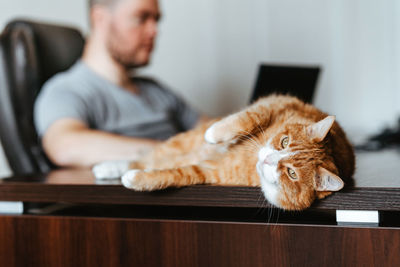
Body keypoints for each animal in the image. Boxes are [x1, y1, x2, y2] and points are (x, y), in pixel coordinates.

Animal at [92, 94, 354, 211]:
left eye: (291, 173)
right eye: (284, 141)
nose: (267, 158)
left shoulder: (211, 171)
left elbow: (173, 175)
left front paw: (137, 179)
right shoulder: (274, 104)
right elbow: (247, 118)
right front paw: (215, 133)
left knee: (154, 161)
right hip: (181, 142)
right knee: (145, 157)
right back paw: (107, 167)